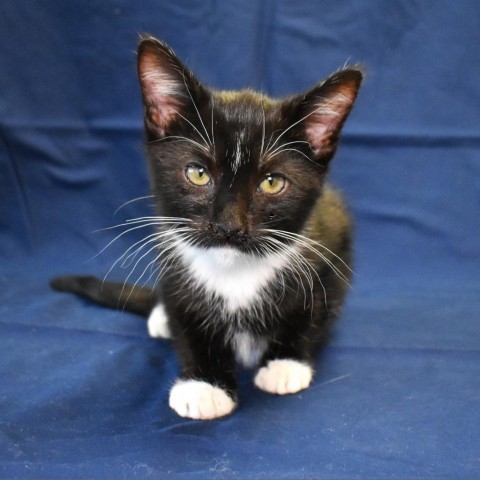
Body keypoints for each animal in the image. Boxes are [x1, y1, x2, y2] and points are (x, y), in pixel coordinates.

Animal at [51, 36, 360, 420]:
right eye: (198, 173)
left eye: (272, 182)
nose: (229, 225)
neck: (234, 271)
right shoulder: (172, 260)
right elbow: (186, 315)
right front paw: (204, 383)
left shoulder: (330, 241)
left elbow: (315, 306)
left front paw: (285, 362)